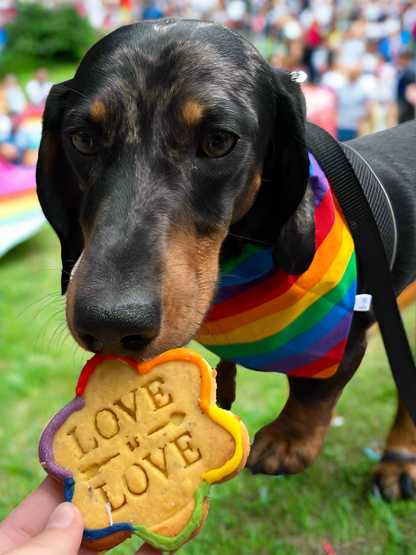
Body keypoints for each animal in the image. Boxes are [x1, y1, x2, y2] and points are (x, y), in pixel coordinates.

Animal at [36, 19, 416, 502]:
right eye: (83, 139)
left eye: (218, 142)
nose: (109, 325)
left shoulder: (351, 326)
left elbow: (319, 384)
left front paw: (289, 437)